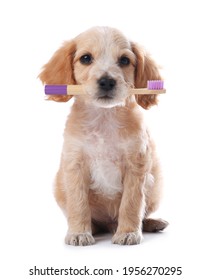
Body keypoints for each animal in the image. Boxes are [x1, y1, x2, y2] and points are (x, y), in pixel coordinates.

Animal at [39, 26, 167, 245]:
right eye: (86, 58)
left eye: (124, 60)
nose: (107, 81)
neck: (104, 117)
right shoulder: (75, 165)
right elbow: (78, 204)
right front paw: (79, 233)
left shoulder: (136, 166)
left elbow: (131, 203)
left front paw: (128, 232)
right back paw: (93, 228)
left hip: (155, 183)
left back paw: (151, 223)